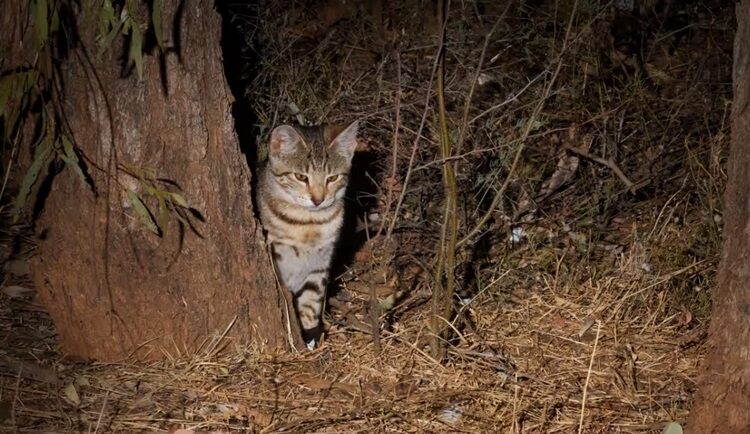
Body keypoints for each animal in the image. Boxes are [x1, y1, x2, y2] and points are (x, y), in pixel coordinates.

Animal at [258, 119, 362, 350]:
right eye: (300, 177)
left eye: (332, 178)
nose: (318, 200)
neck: (308, 224)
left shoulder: (319, 265)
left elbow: (311, 302)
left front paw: (310, 335)